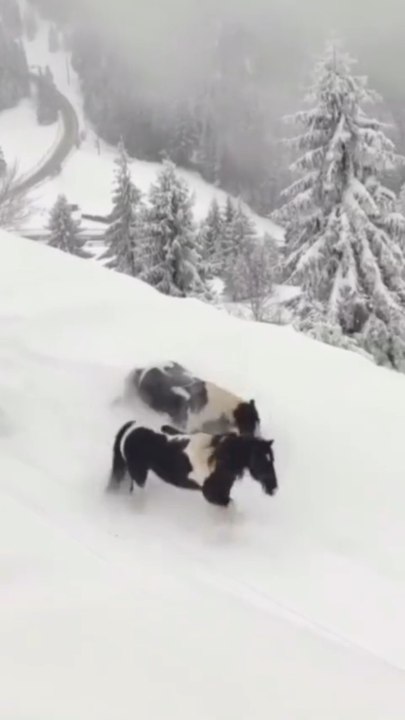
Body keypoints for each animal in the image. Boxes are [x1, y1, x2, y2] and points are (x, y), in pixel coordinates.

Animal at [106, 421, 278, 507]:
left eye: (272, 459)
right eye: (261, 460)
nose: (274, 488)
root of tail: (131, 428)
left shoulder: (224, 493)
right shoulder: (212, 495)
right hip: (139, 476)